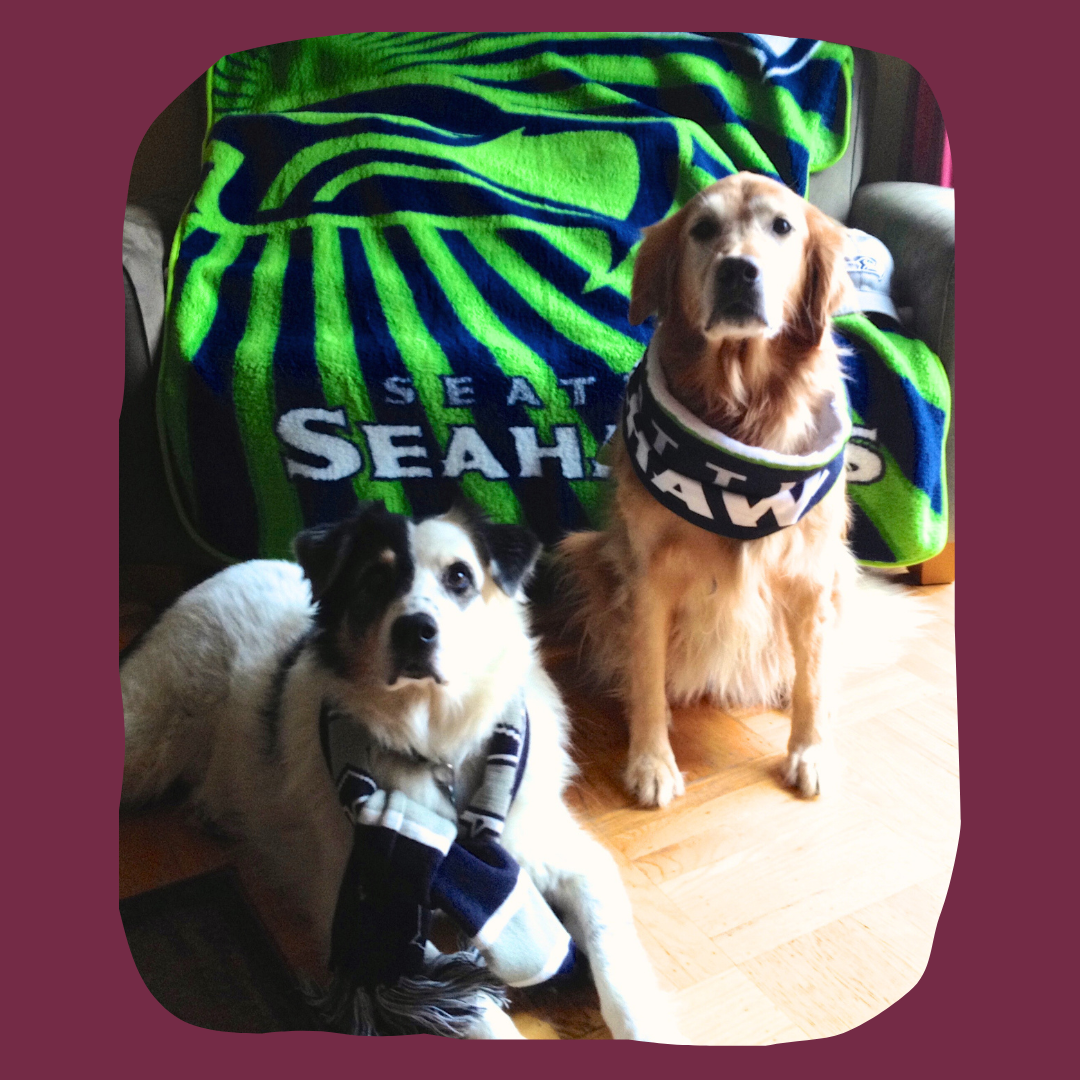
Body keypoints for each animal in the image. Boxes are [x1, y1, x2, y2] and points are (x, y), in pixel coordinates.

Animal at [121, 500, 676, 1040]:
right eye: (374, 579)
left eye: (459, 577)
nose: (415, 630)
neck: (437, 746)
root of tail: (207, 581)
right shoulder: (369, 922)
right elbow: (471, 1007)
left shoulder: (573, 860)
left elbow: (616, 966)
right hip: (146, 743)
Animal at [554, 171, 860, 808]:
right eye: (702, 229)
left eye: (782, 226)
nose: (739, 270)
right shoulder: (648, 578)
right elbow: (647, 675)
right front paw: (650, 761)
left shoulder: (812, 573)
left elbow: (813, 681)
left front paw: (809, 751)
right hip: (586, 551)